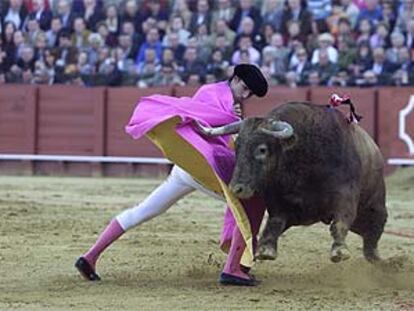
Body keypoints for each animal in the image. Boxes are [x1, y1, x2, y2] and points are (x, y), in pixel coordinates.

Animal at [197, 102, 388, 264]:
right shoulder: (282, 204)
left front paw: (339, 251)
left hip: (375, 207)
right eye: (237, 147)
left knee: (373, 234)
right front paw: (265, 250)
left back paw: (379, 260)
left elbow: (340, 221)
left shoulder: (345, 194)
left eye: (262, 149)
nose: (237, 188)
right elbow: (274, 222)